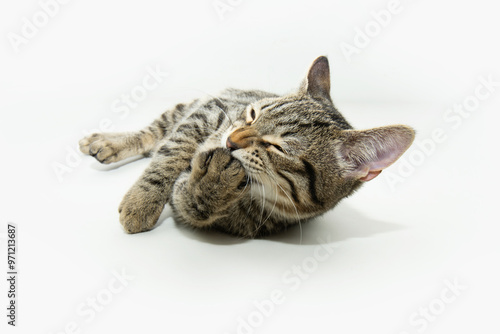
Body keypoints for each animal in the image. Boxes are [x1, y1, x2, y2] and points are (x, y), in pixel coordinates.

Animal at [79, 55, 414, 237]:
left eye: (278, 149)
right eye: (253, 114)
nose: (230, 141)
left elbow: (193, 202)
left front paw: (213, 184)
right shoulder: (208, 113)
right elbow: (170, 154)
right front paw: (142, 200)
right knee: (153, 135)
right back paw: (106, 142)